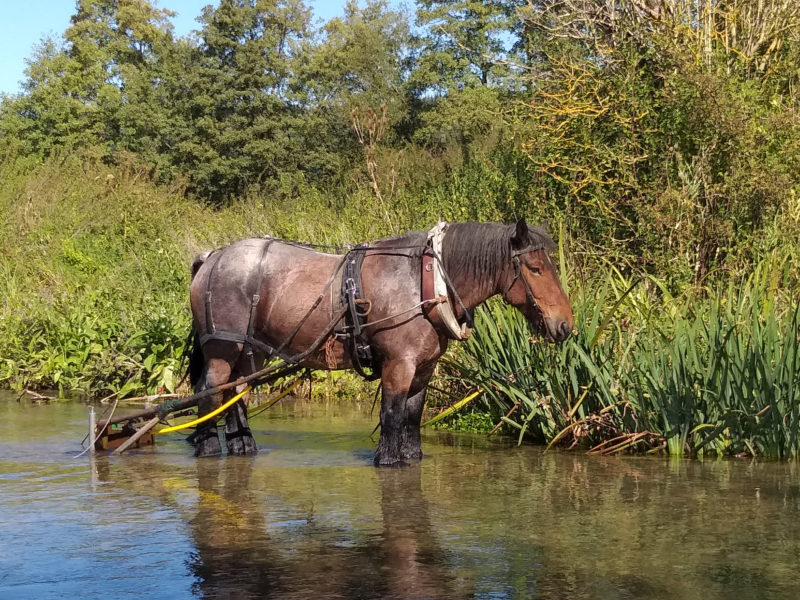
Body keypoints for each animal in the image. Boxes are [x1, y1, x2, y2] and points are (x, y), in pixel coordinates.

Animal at [188, 219, 576, 464]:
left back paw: (244, 446)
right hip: (223, 349)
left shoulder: (423, 369)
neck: (423, 284)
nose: (565, 325)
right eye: (535, 269)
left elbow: (411, 421)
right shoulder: (397, 365)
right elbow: (391, 419)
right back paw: (208, 448)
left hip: (252, 352)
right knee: (210, 393)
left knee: (236, 394)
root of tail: (212, 257)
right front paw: (387, 459)